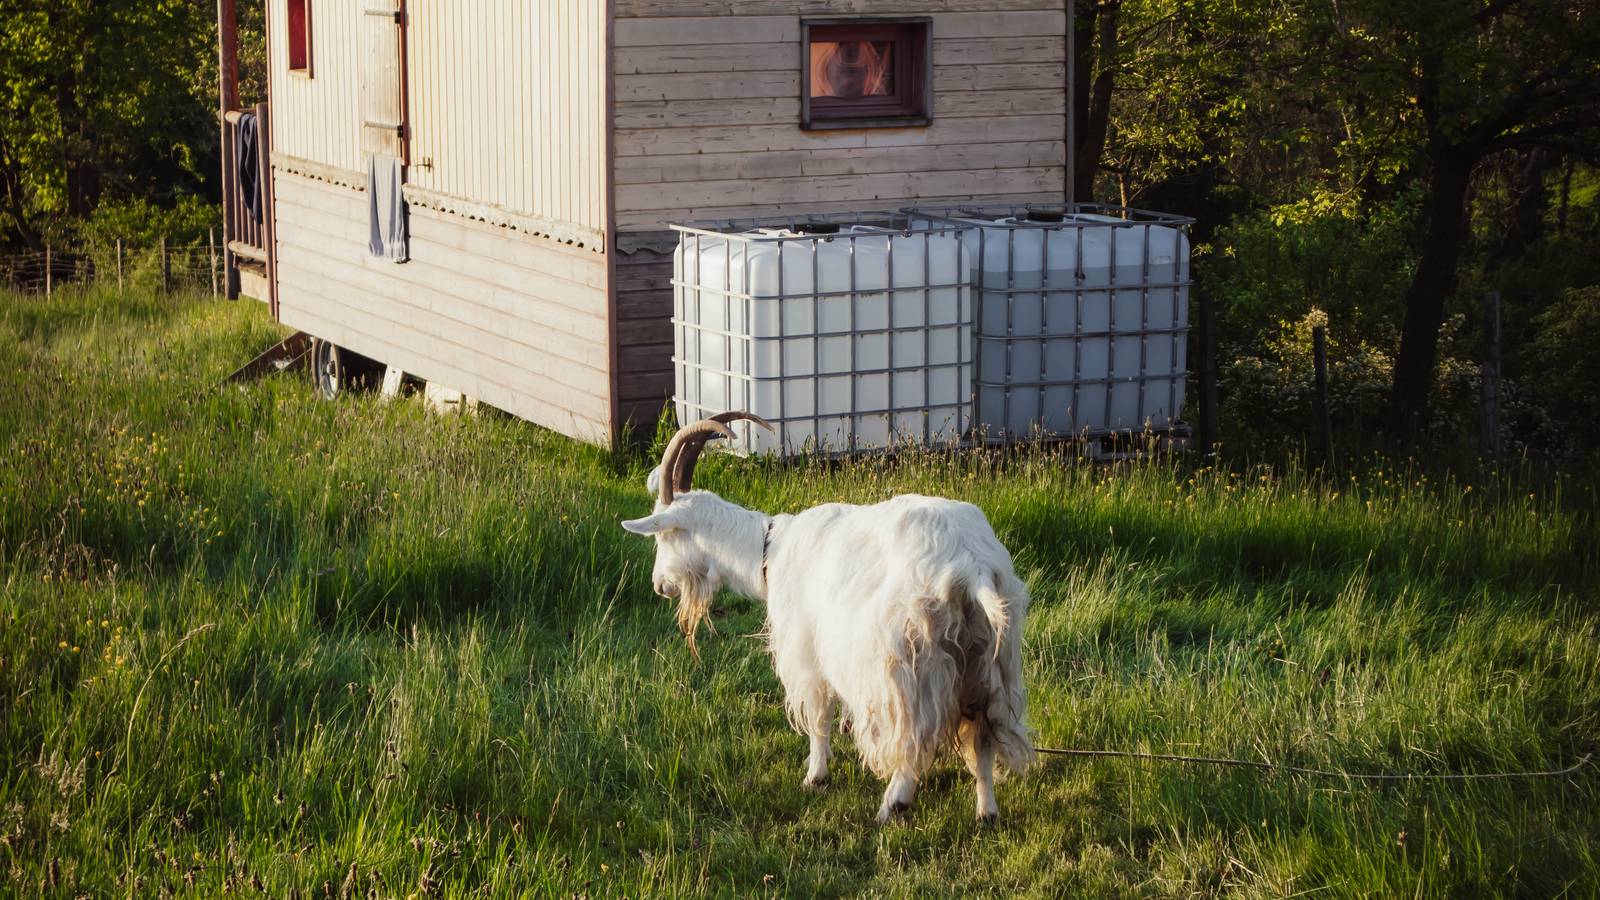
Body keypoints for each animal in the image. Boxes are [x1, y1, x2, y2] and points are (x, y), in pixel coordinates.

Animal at [621, 414, 1034, 823]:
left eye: (663, 537)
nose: (660, 585)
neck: (768, 549)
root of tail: (971, 567)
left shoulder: (806, 652)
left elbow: (818, 717)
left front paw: (815, 776)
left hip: (909, 665)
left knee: (912, 739)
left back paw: (893, 802)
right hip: (987, 664)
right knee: (981, 735)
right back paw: (986, 811)